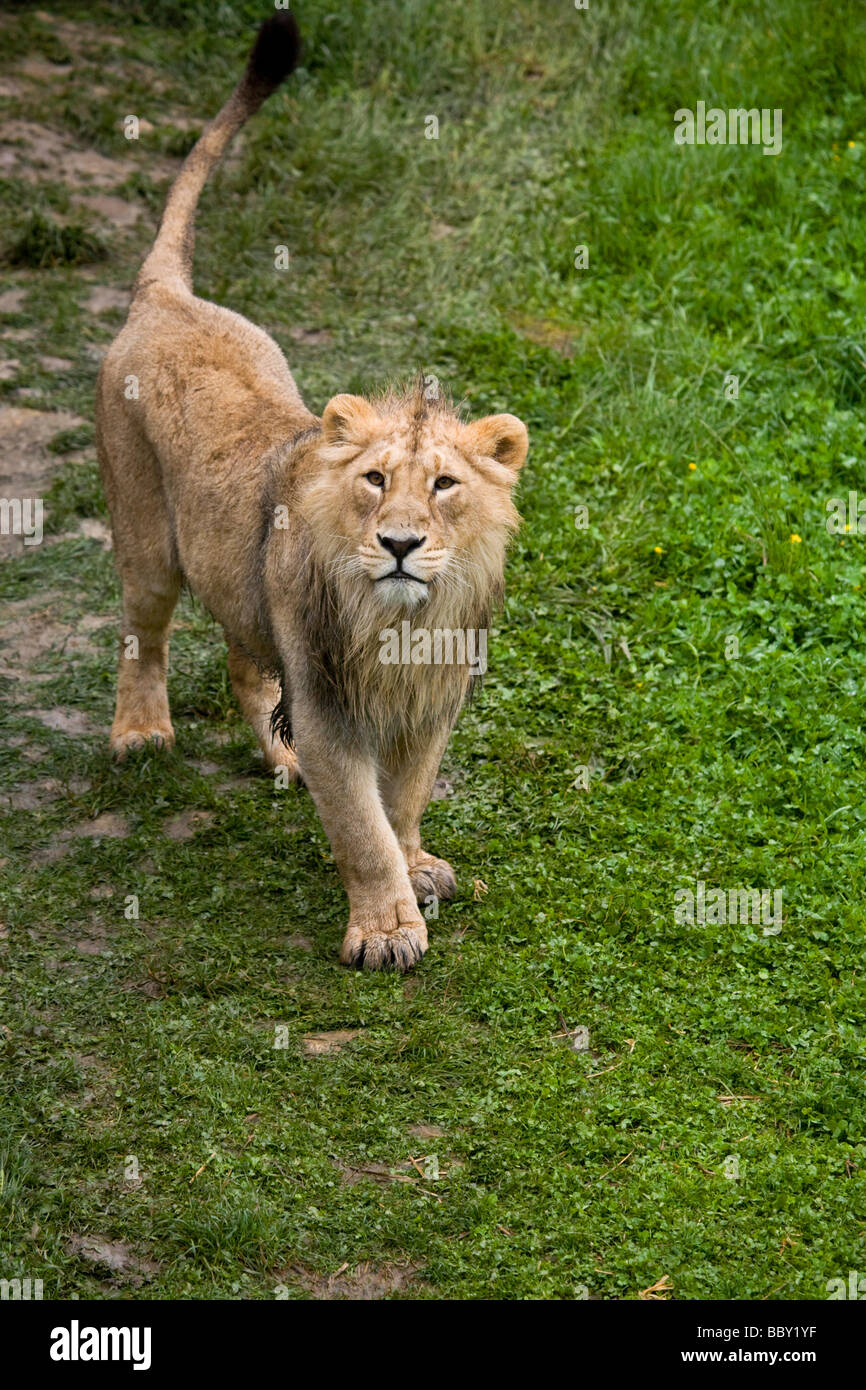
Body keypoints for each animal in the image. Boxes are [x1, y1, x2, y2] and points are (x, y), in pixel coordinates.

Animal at [95, 13, 529, 971]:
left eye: (444, 485)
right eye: (374, 481)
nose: (400, 543)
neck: (402, 625)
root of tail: (165, 298)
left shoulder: (428, 704)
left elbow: (403, 802)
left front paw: (419, 867)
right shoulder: (332, 708)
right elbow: (362, 827)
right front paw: (387, 928)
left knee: (240, 657)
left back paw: (276, 758)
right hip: (145, 541)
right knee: (144, 636)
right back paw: (140, 735)